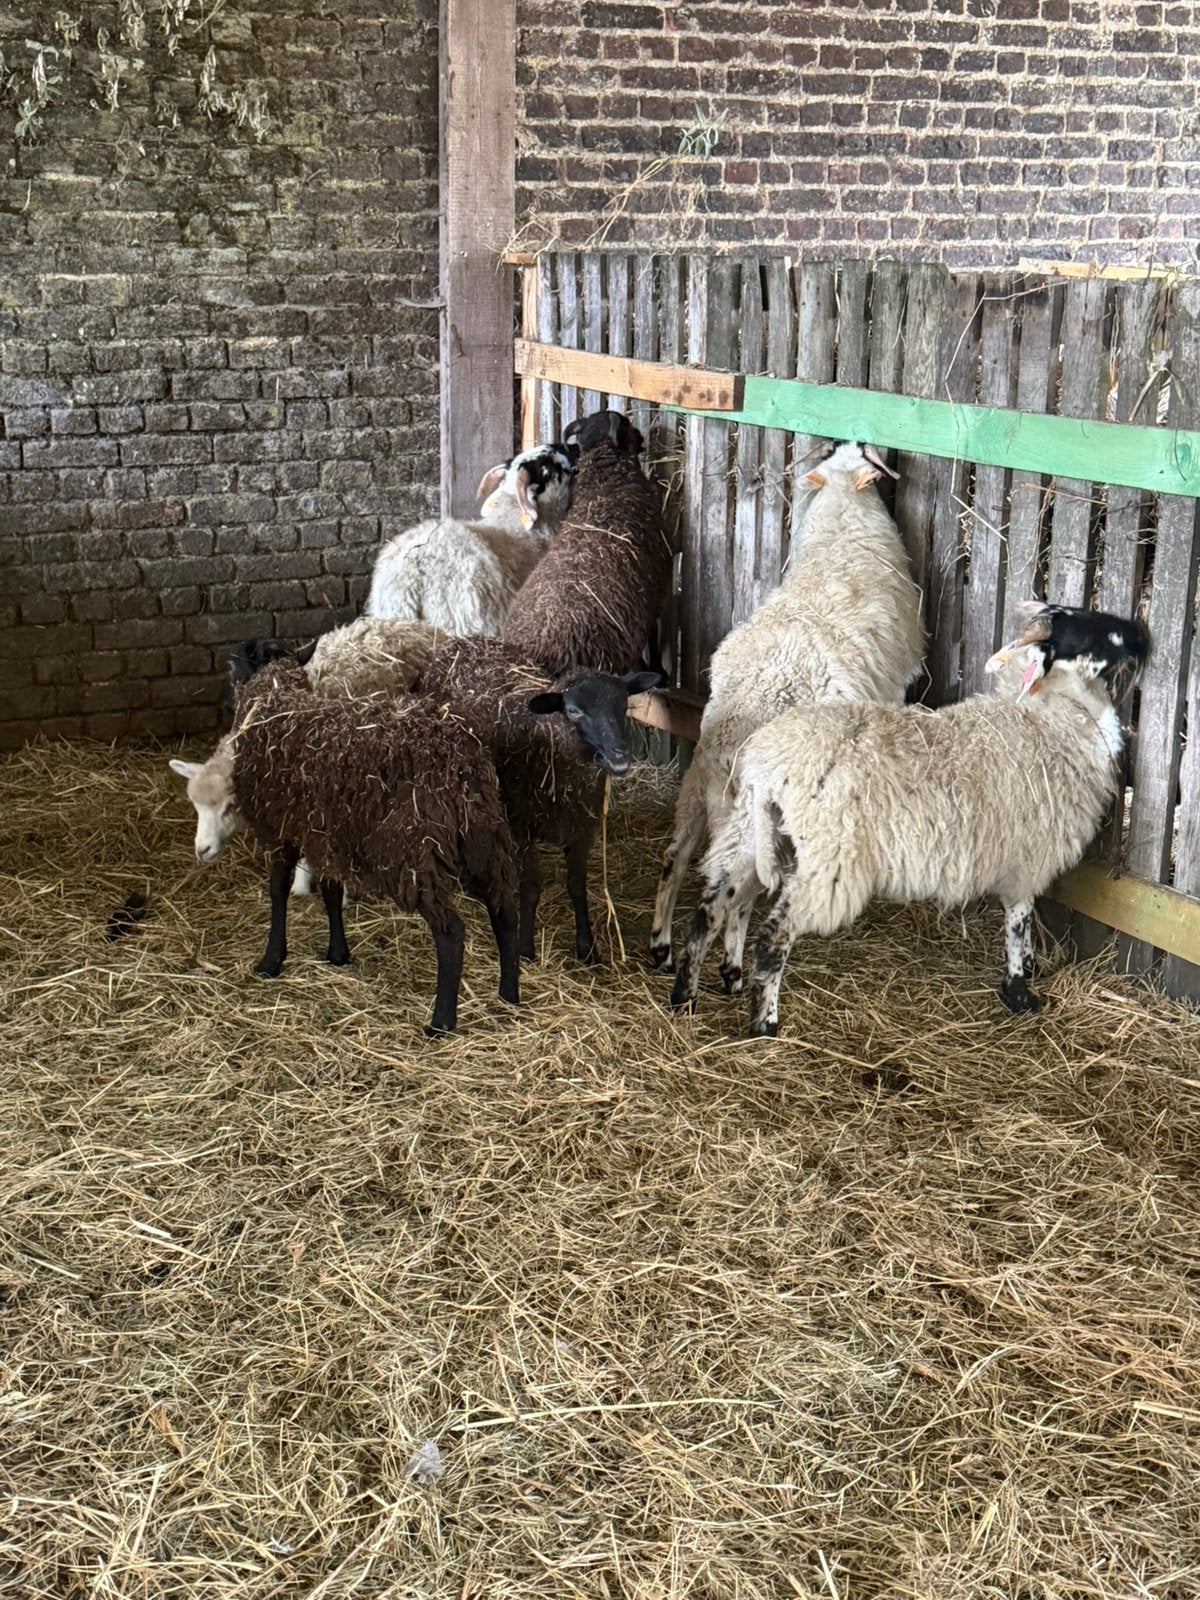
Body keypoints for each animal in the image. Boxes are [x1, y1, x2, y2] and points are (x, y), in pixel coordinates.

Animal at [230, 659, 521, 1036]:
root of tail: (463, 768)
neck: (277, 695)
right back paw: (509, 995)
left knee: (451, 932)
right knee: (505, 912)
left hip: (416, 854)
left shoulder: (281, 830)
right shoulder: (328, 835)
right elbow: (331, 891)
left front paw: (271, 960)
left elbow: (277, 891)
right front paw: (338, 953)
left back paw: (441, 1022)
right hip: (485, 844)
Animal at [417, 635, 661, 964]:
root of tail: (464, 640)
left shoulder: (583, 827)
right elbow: (531, 887)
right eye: (573, 710)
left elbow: (577, 886)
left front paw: (587, 949)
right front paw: (524, 948)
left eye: (623, 703)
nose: (619, 755)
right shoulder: (520, 827)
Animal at [503, 409, 673, 678]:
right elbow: (653, 637)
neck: (604, 478)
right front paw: (658, 671)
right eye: (627, 424)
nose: (642, 436)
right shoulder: (656, 590)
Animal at [649, 439, 924, 982]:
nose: (862, 440)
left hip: (697, 791)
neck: (840, 529)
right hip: (764, 820)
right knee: (732, 892)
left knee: (677, 858)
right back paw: (728, 966)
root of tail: (727, 743)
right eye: (864, 458)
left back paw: (662, 945)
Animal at [668, 604, 1149, 1036]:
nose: (1142, 638)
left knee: (710, 907)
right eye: (1092, 635)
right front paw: (1020, 993)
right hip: (827, 861)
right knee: (772, 936)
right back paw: (764, 1025)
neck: (1050, 716)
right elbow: (1019, 924)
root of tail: (768, 765)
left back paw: (683, 997)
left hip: (750, 833)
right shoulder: (1026, 858)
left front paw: (1023, 982)